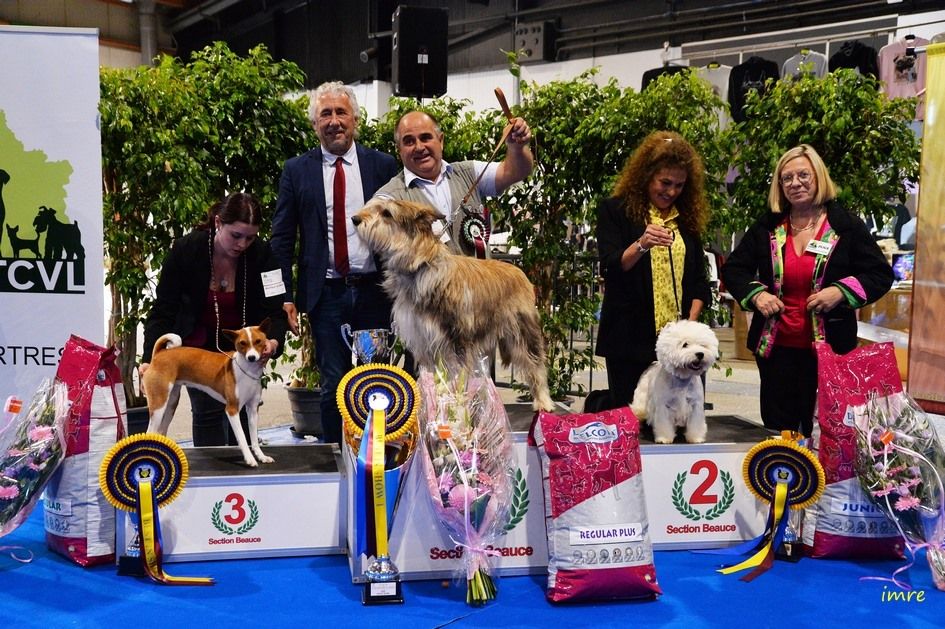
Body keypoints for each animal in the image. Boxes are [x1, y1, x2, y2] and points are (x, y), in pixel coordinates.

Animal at [140, 318, 274, 466]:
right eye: (242, 343)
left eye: (258, 341)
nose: (251, 357)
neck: (247, 370)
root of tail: (159, 355)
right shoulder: (232, 410)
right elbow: (243, 438)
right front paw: (250, 459)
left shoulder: (252, 409)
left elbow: (254, 439)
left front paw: (261, 456)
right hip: (159, 405)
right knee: (150, 432)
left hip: (170, 405)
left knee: (161, 430)